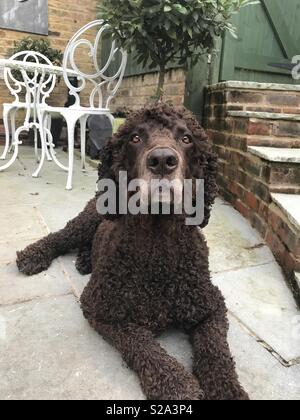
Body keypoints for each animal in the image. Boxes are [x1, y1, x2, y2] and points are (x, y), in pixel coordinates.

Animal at [17, 102, 250, 400]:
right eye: (135, 138)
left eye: (186, 139)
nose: (162, 160)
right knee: (61, 236)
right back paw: (34, 255)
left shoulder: (211, 305)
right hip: (89, 217)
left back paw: (84, 260)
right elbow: (141, 344)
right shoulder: (101, 309)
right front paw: (177, 384)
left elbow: (215, 350)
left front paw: (227, 390)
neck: (158, 244)